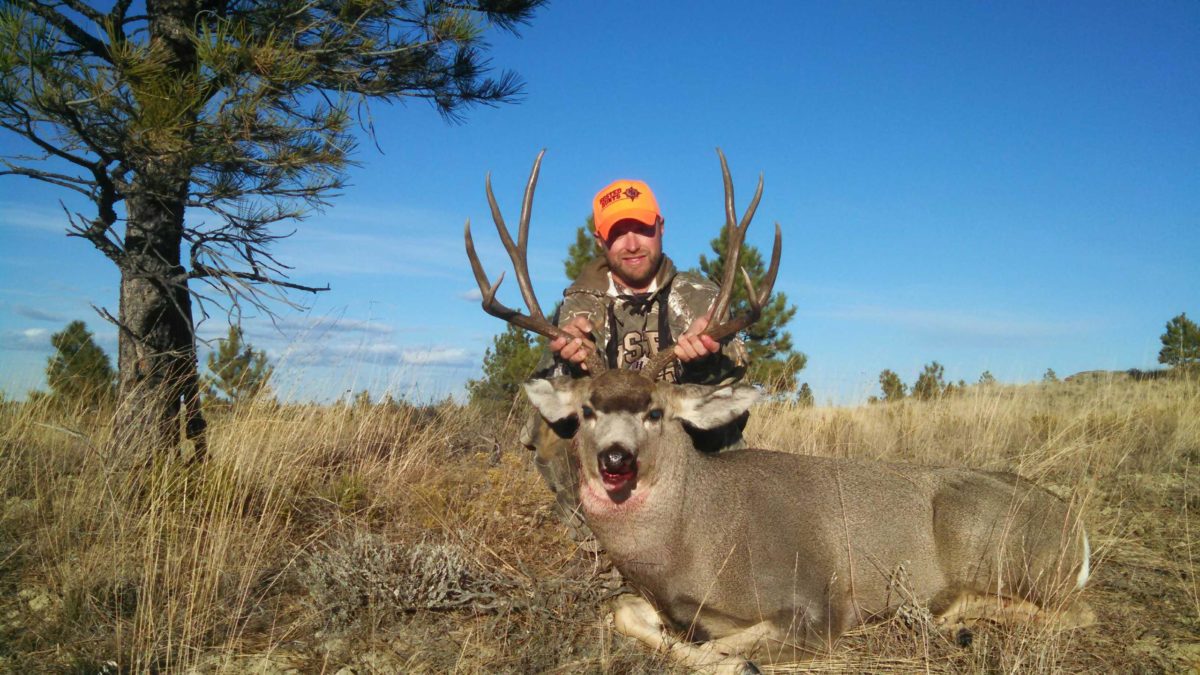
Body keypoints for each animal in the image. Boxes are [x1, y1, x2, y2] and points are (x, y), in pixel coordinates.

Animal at [465, 150, 1094, 672]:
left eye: (656, 413)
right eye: (591, 410)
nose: (616, 460)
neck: (689, 544)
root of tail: (1074, 528)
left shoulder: (816, 603)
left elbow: (728, 644)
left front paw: (735, 661)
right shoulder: (656, 600)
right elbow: (623, 612)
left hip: (991, 542)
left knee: (1071, 612)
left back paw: (953, 618)